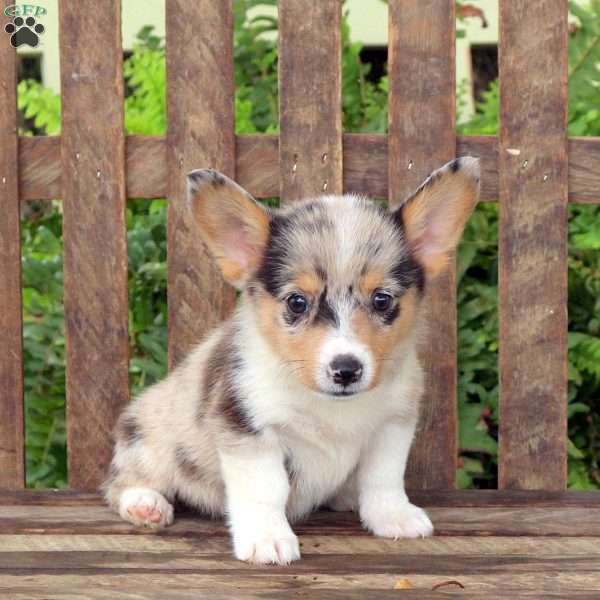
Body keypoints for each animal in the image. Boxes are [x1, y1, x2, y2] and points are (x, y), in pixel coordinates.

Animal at [102, 157, 478, 564]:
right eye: (297, 302)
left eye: (382, 299)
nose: (346, 370)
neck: (331, 407)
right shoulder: (248, 429)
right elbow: (267, 489)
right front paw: (267, 538)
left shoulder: (392, 425)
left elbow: (384, 477)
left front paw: (392, 516)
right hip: (149, 440)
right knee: (122, 481)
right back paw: (145, 503)